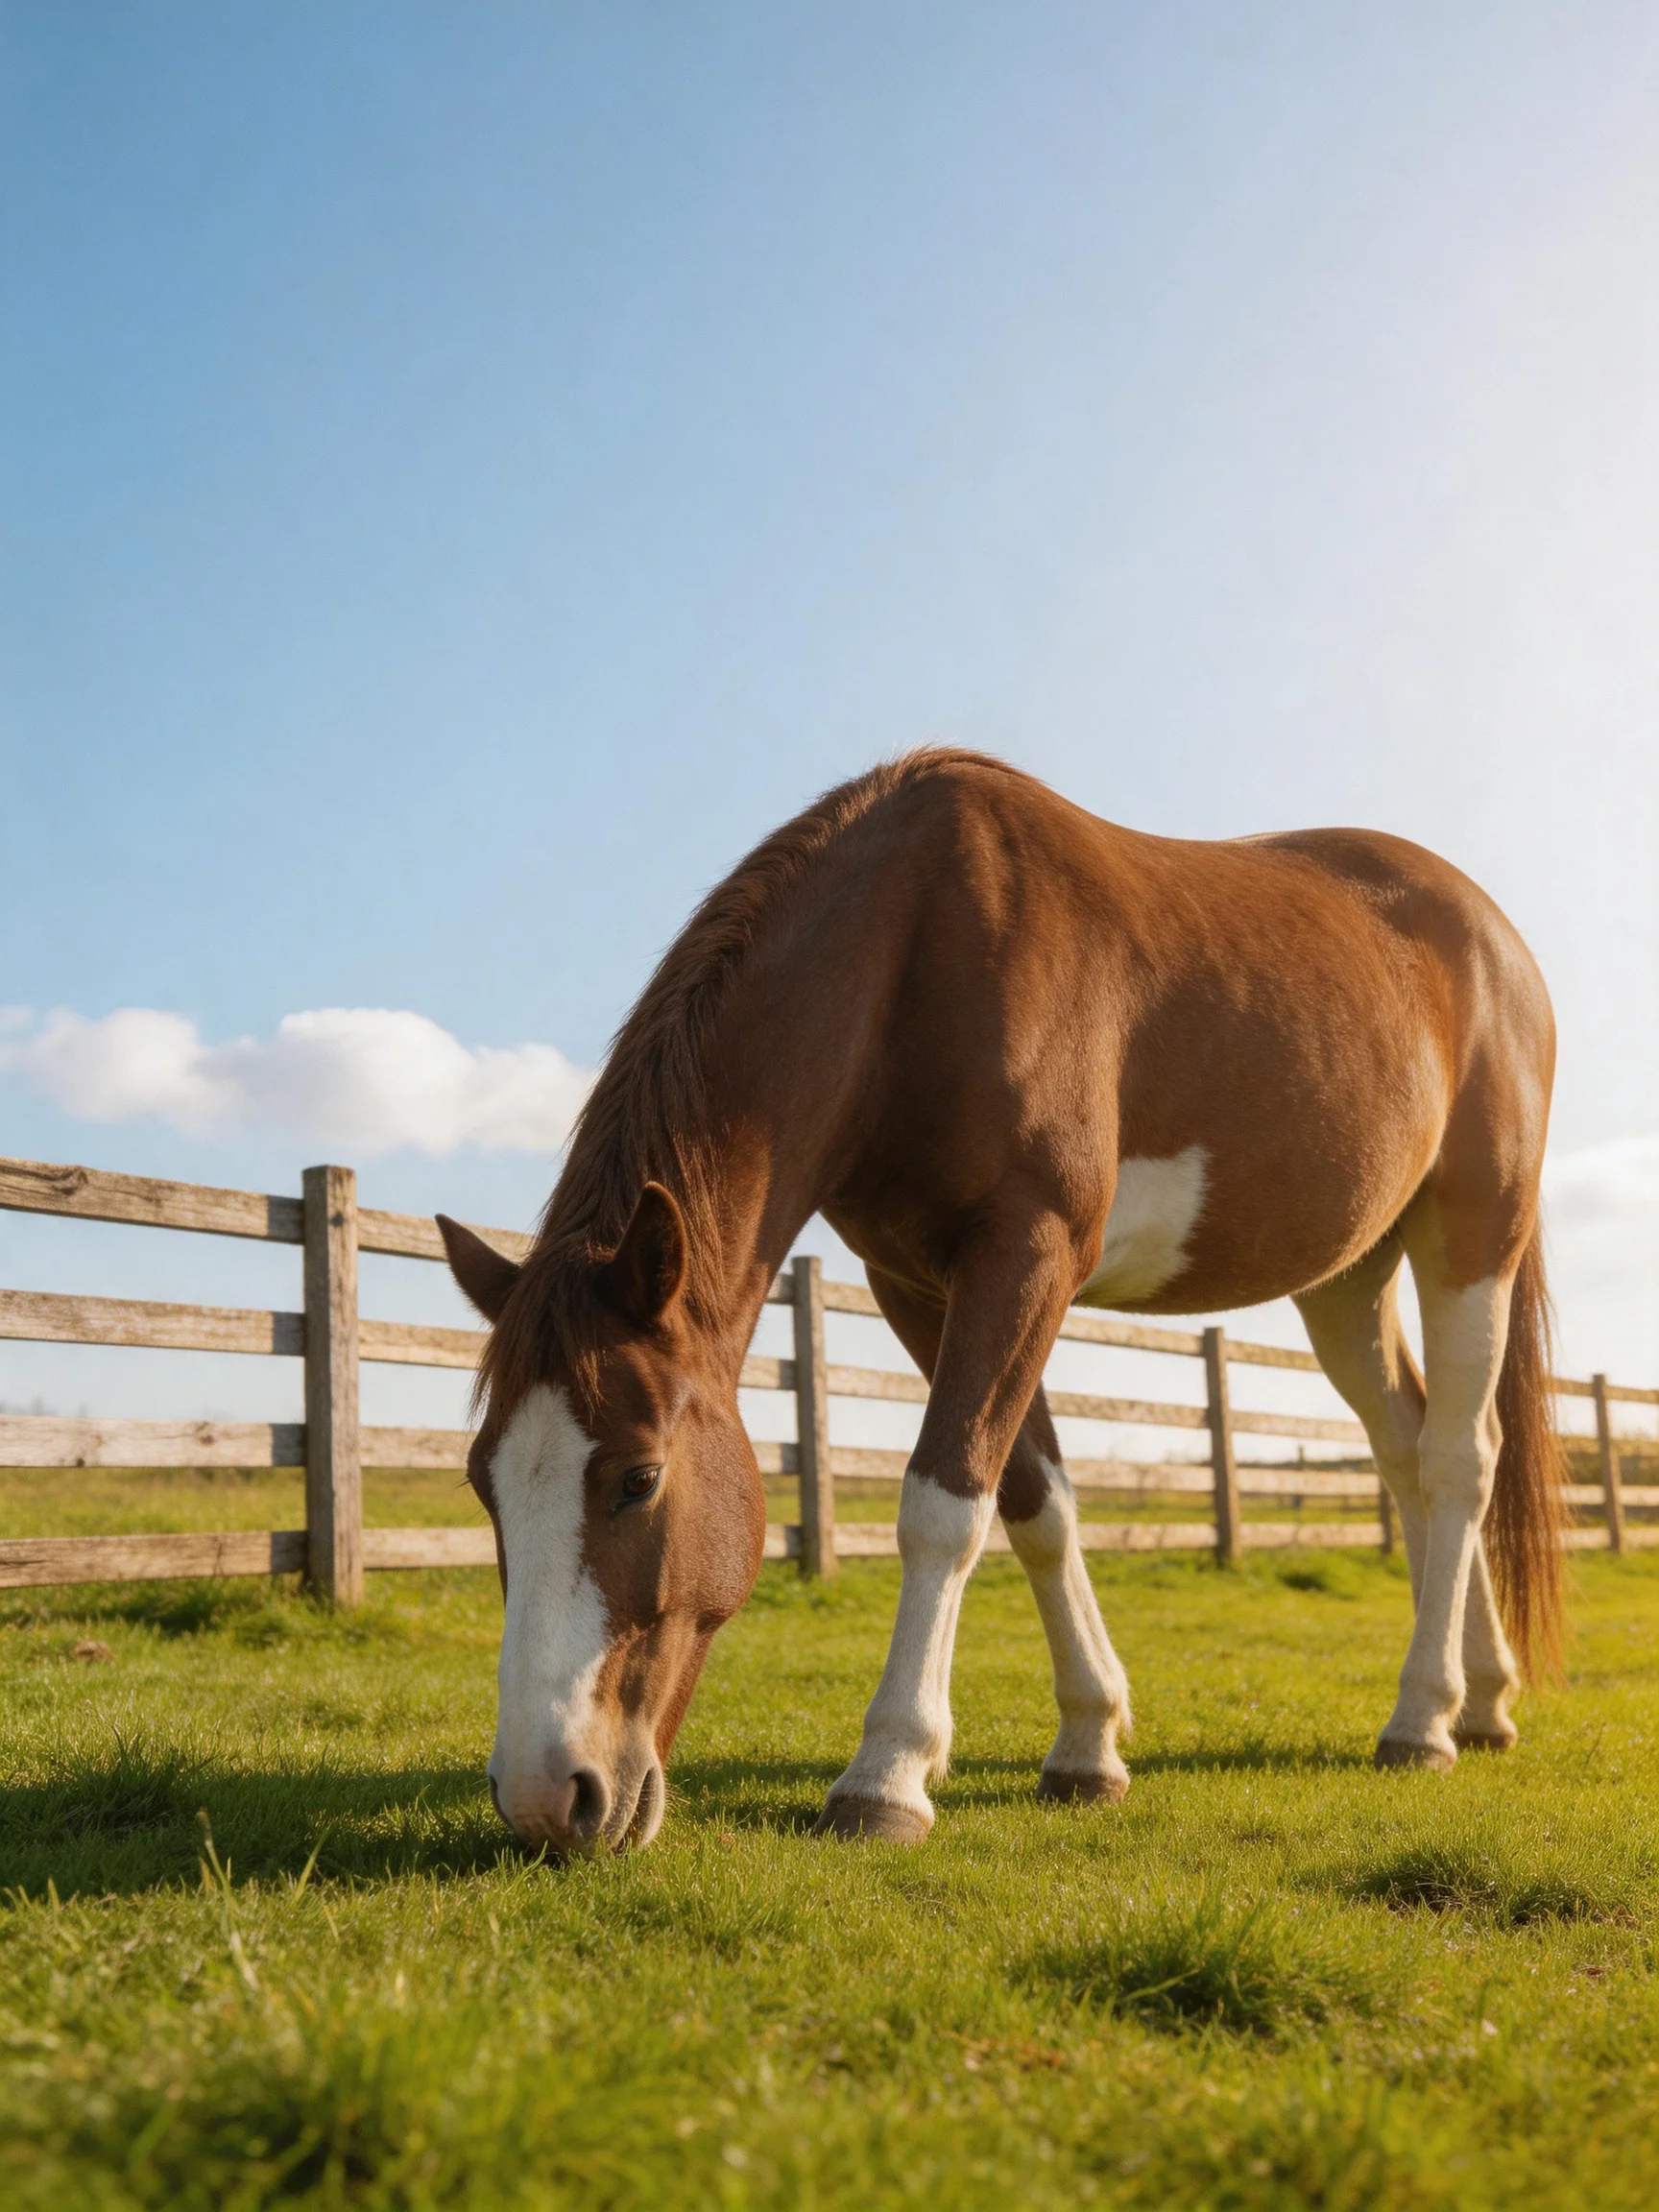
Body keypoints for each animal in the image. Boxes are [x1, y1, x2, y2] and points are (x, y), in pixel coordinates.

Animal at [438, 749, 1562, 1852]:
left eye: (638, 1479)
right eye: (483, 1484)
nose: (547, 1800)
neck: (917, 950)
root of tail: (1496, 937)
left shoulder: (1027, 1256)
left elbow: (945, 1504)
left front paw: (887, 1775)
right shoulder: (918, 1284)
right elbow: (1033, 1501)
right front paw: (1088, 1743)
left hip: (1472, 1241)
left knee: (1461, 1461)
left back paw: (1420, 1721)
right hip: (1346, 1278)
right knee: (1406, 1453)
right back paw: (1479, 1699)